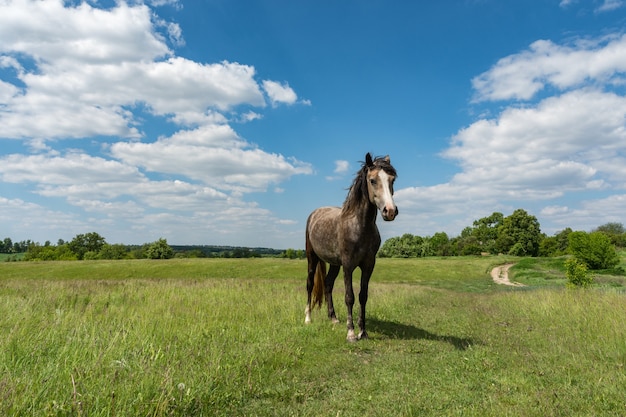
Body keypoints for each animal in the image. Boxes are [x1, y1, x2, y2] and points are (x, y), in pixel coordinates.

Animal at [304, 153, 398, 342]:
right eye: (372, 180)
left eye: (392, 180)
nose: (390, 211)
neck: (360, 226)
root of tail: (314, 214)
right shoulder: (348, 265)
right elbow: (349, 297)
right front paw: (351, 333)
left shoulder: (368, 265)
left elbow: (363, 296)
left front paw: (363, 332)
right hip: (312, 258)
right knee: (310, 284)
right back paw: (308, 318)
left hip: (334, 264)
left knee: (328, 284)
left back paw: (333, 318)